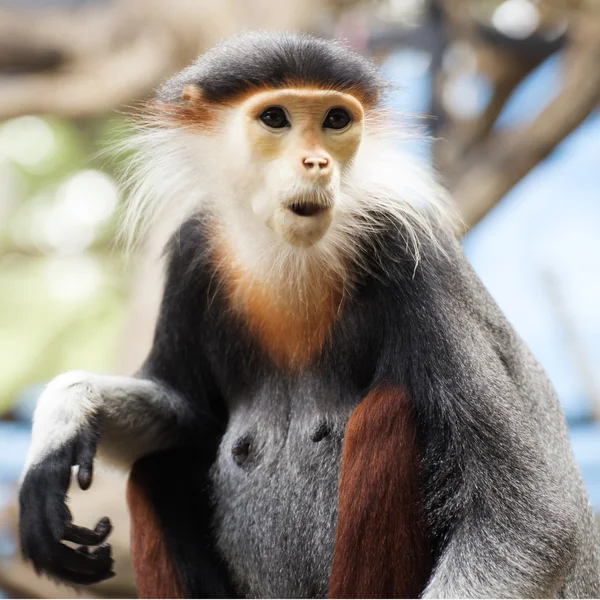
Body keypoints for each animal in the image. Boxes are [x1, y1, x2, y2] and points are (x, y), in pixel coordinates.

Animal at [18, 32, 600, 600]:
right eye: (275, 118)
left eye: (335, 120)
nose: (317, 162)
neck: (291, 254)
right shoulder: (193, 251)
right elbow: (185, 410)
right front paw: (63, 416)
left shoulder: (413, 257)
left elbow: (530, 521)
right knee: (156, 467)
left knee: (388, 411)